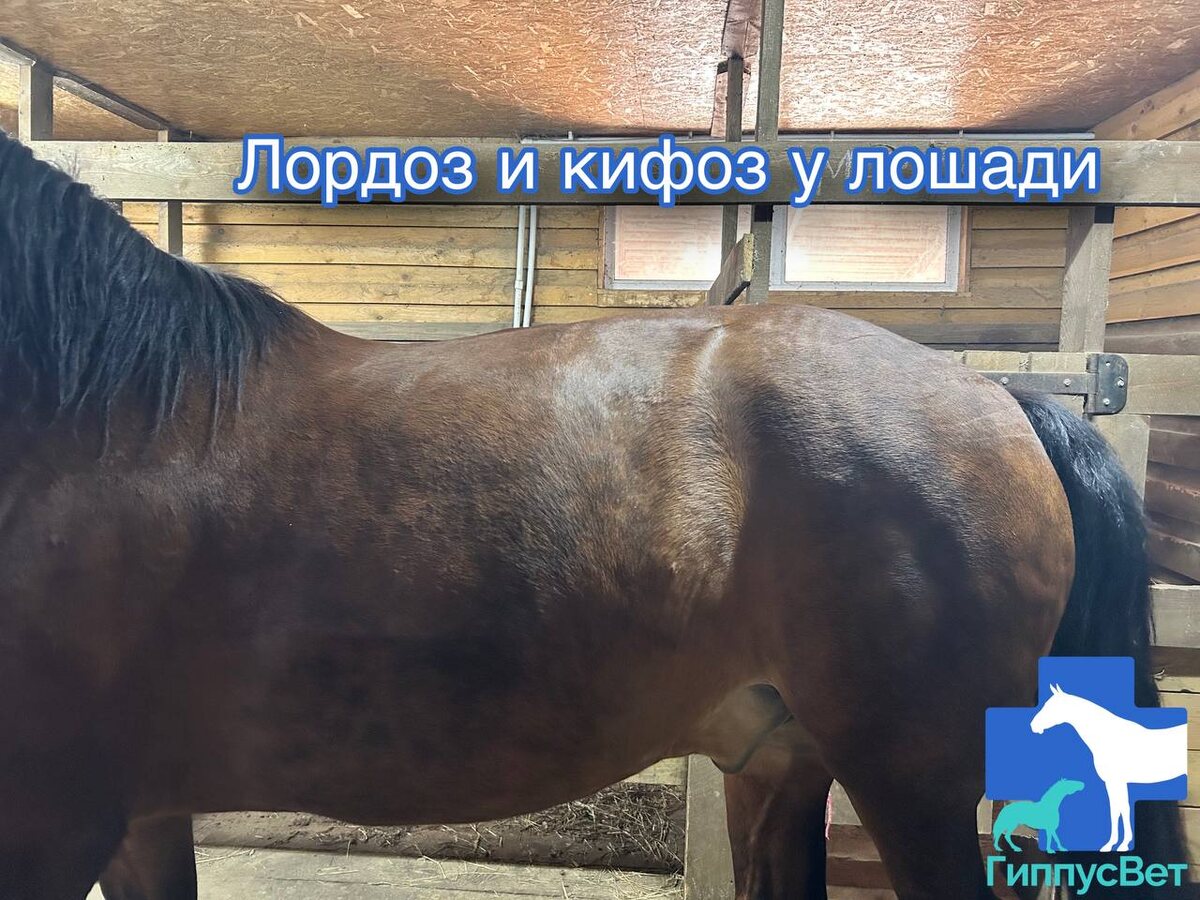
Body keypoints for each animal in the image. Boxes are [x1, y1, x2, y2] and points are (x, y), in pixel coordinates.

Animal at [1031, 683, 1188, 852]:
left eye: (1050, 706)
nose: (1033, 725)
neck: (1109, 737)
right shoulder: (1119, 783)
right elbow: (1121, 809)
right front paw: (1119, 843)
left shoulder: (1114, 782)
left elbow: (1117, 810)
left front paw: (1116, 844)